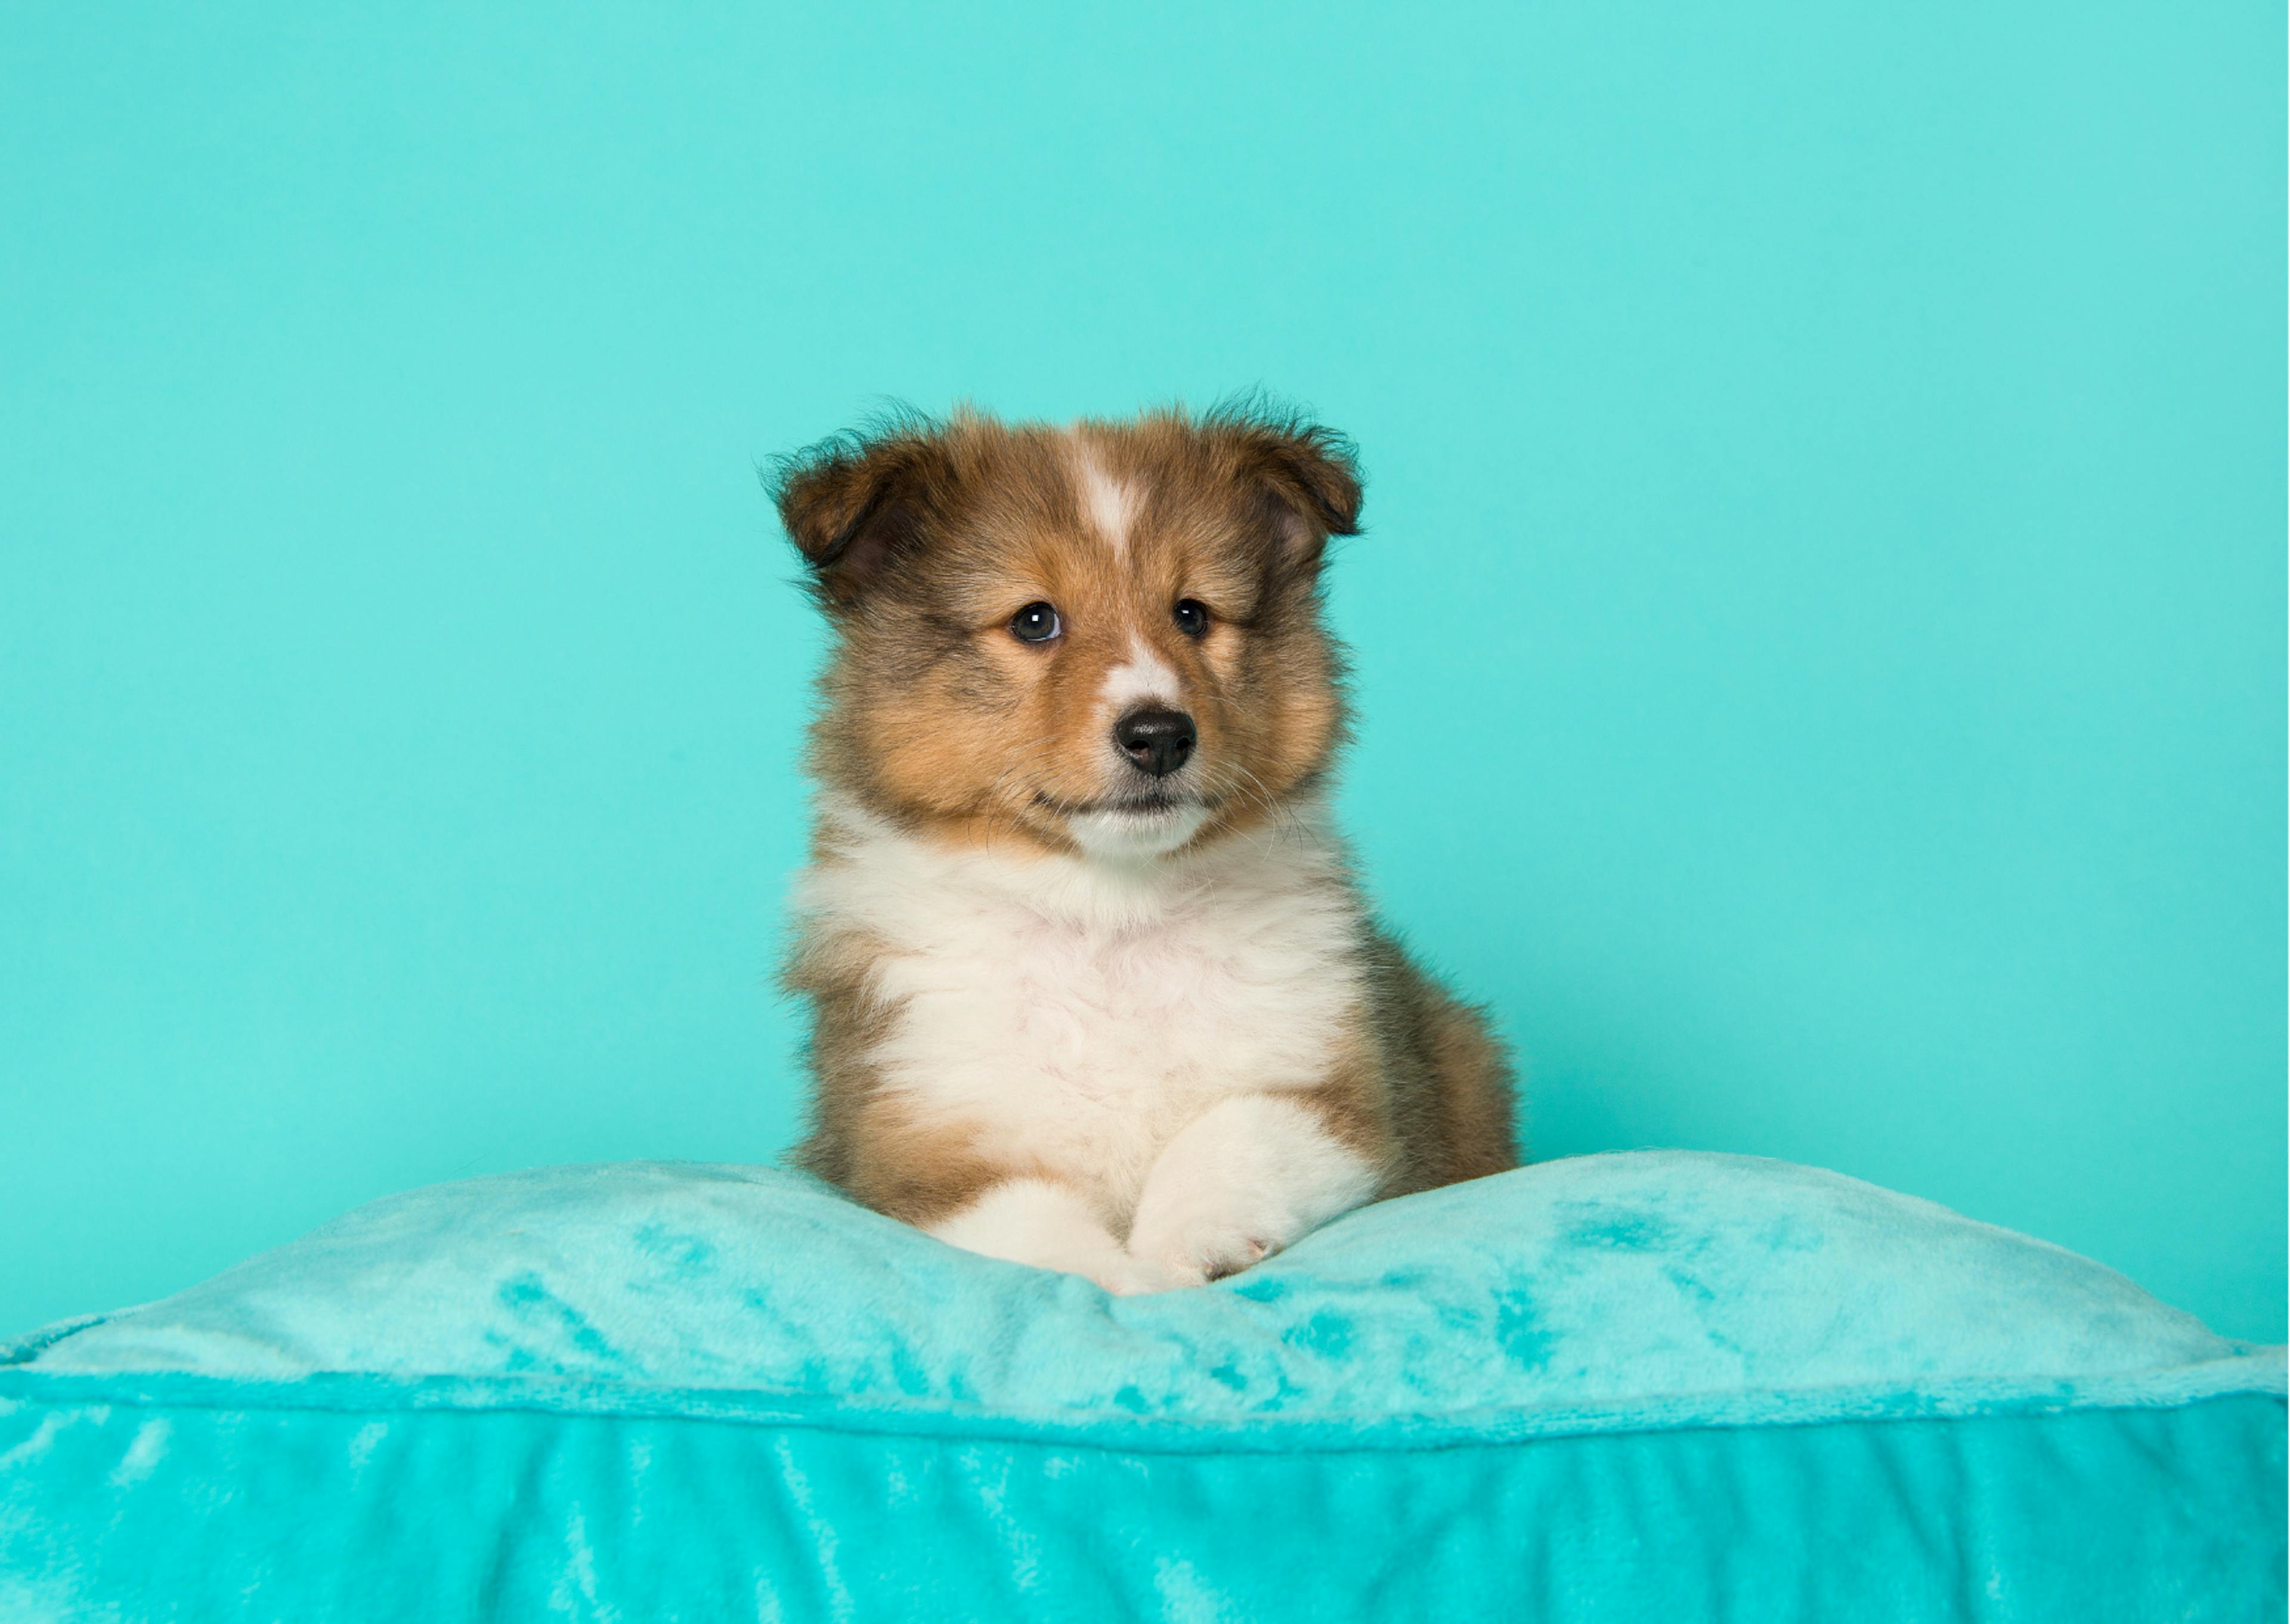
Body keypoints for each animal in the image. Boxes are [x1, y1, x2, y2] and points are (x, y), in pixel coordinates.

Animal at [769, 403, 1520, 1291]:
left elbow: (1243, 1129)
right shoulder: (910, 1142)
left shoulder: (1351, 1085)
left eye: (1192, 613)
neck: (1110, 914)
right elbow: (1040, 1226)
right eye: (1034, 621)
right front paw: (1132, 1286)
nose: (1160, 735)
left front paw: (1182, 1246)